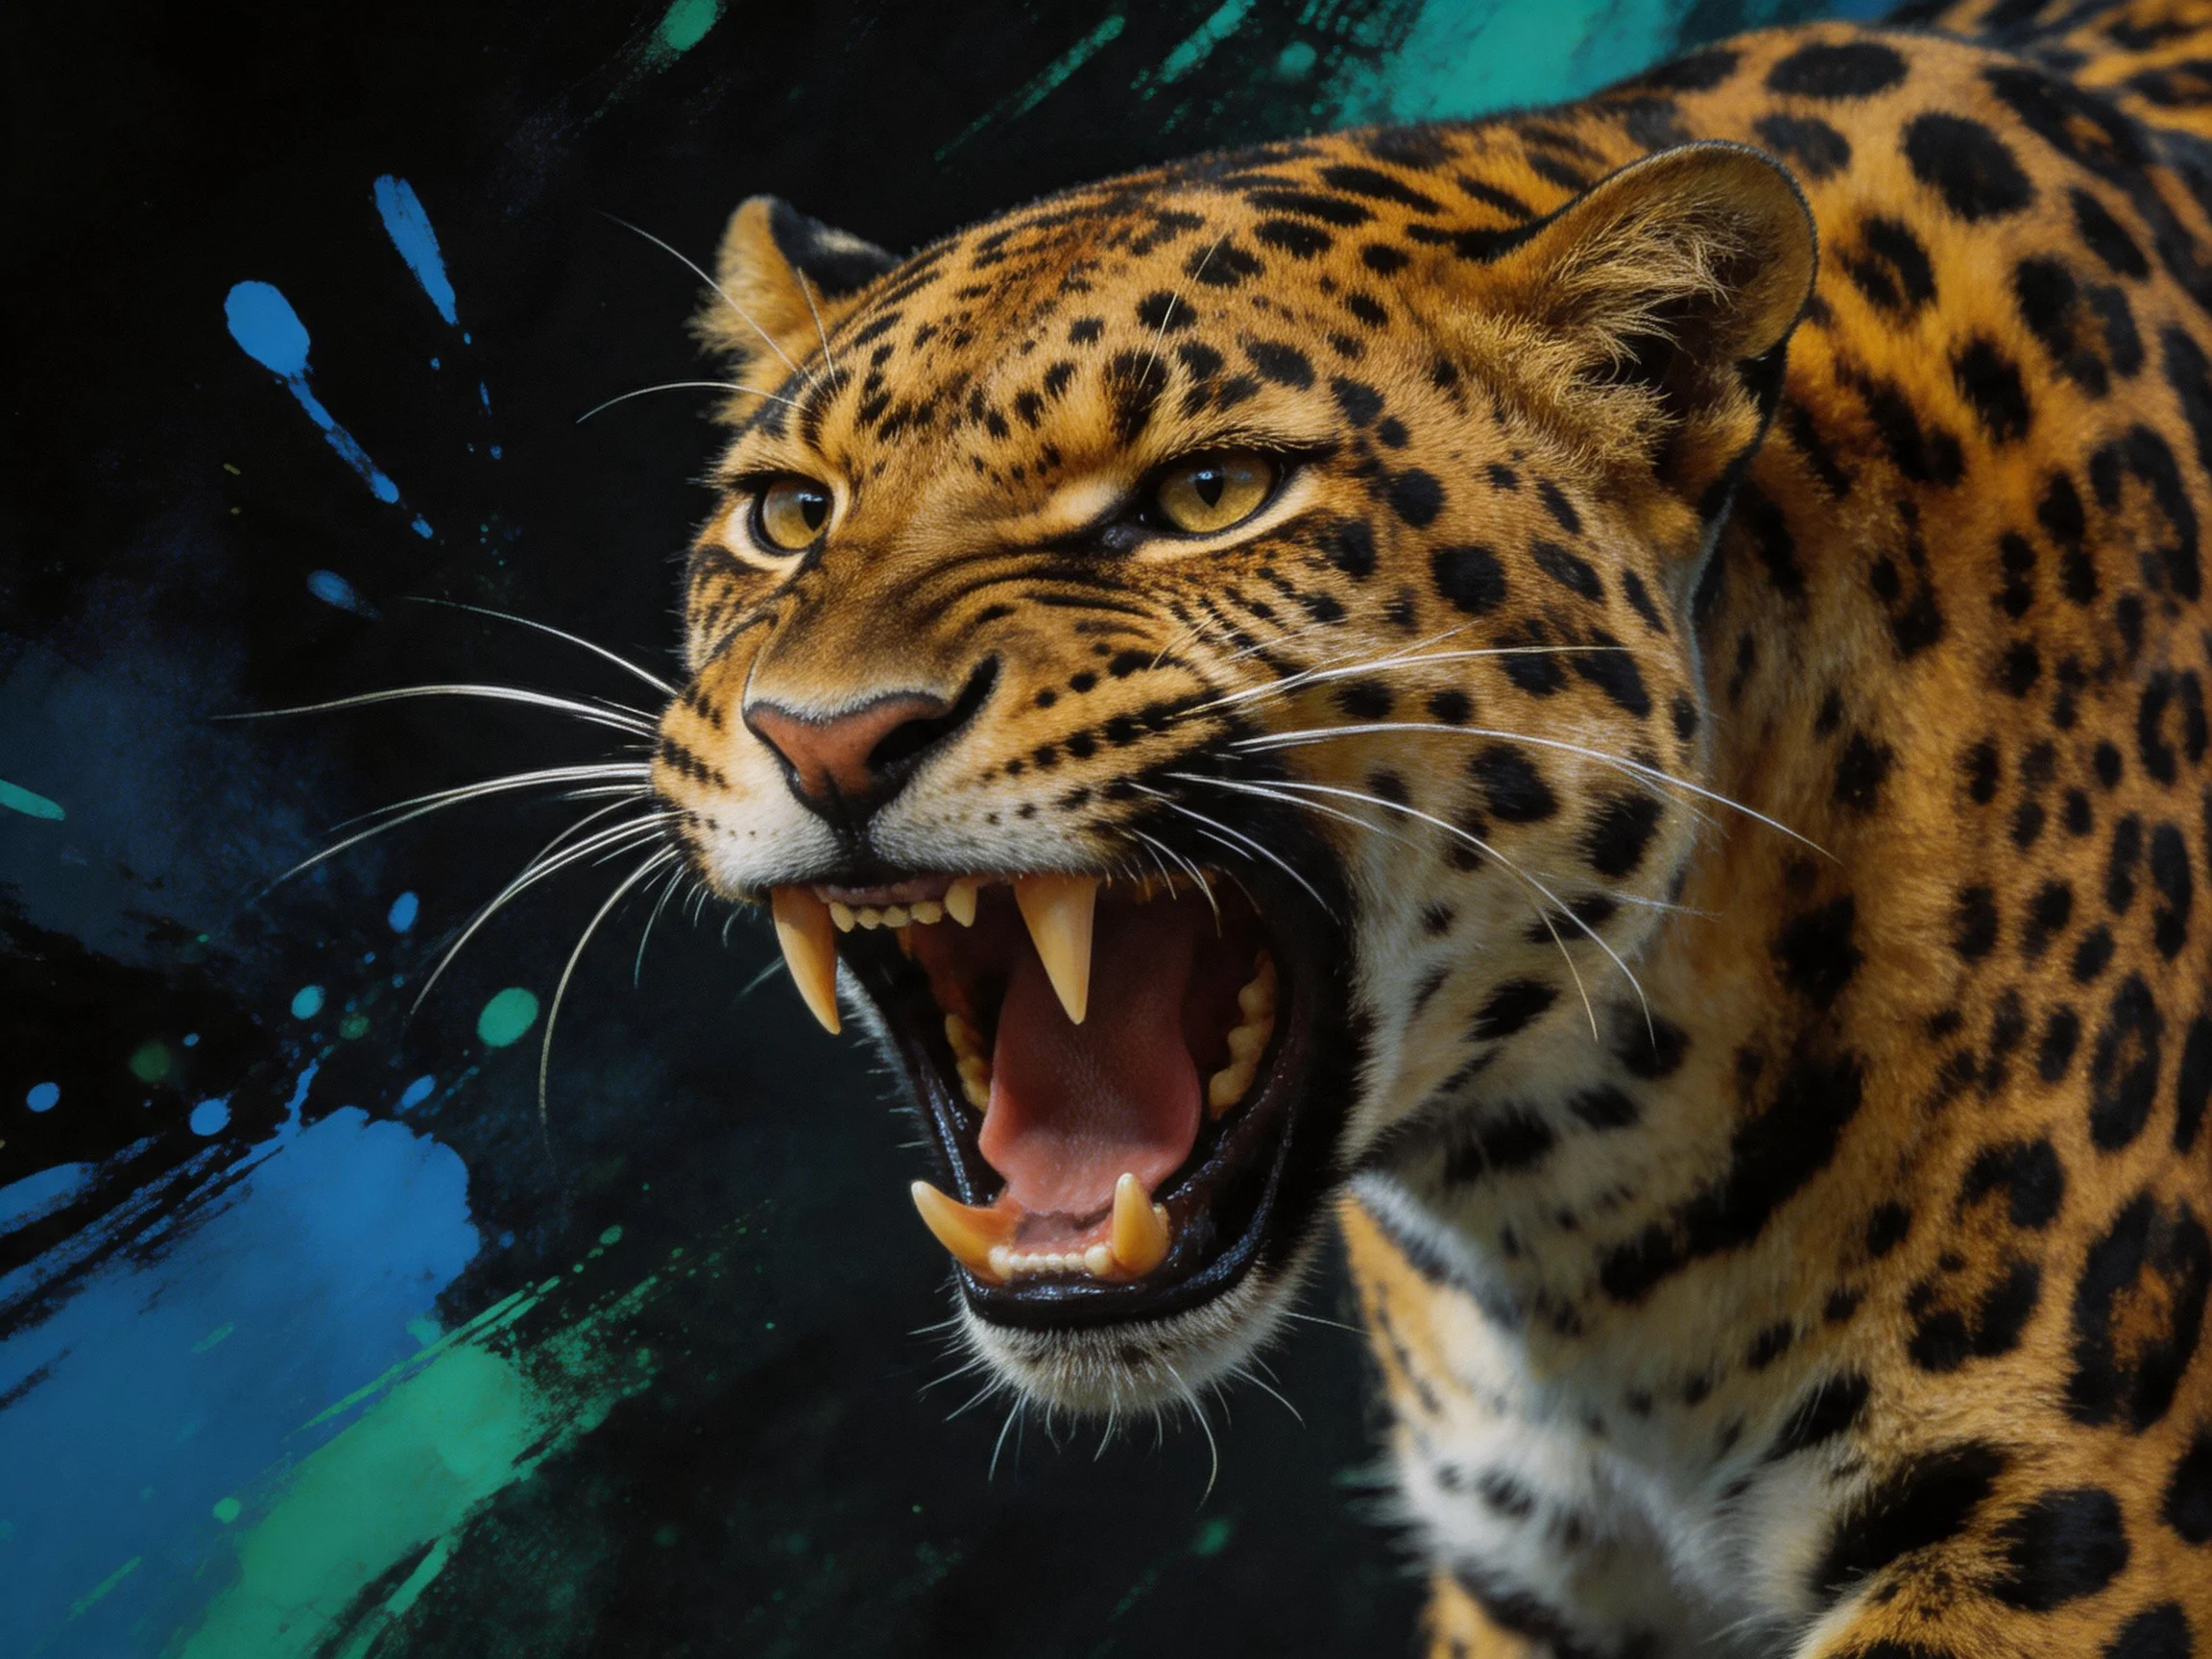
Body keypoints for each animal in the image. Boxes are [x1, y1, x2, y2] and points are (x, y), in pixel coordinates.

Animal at [647, 1, 2212, 1652]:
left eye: (1211, 492)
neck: (1578, 1226)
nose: (827, 738)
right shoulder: (1526, 1573)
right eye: (788, 516)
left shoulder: (2048, 1529)